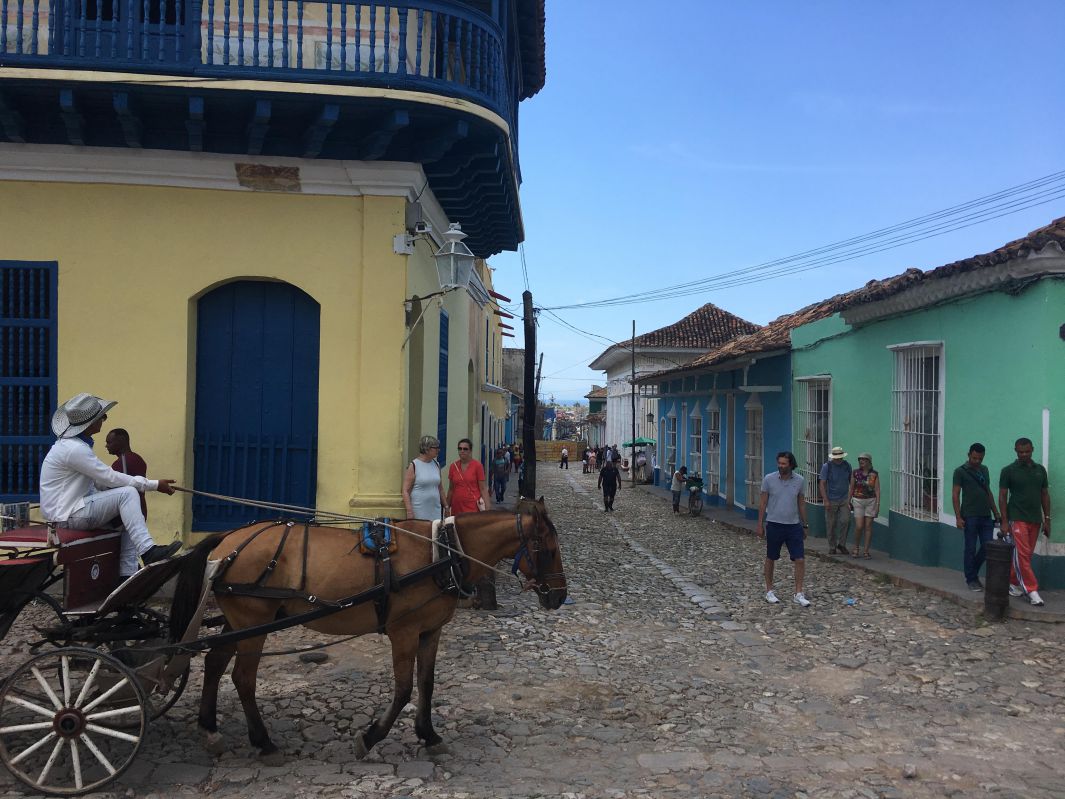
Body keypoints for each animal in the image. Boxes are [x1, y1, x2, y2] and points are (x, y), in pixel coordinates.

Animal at [176, 507, 566, 762]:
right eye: (548, 551)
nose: (560, 597)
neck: (441, 552)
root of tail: (228, 540)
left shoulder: (430, 631)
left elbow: (427, 684)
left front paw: (429, 735)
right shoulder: (403, 632)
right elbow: (404, 688)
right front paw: (370, 737)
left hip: (239, 622)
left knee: (214, 663)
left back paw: (210, 729)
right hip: (251, 623)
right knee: (242, 677)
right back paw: (263, 742)